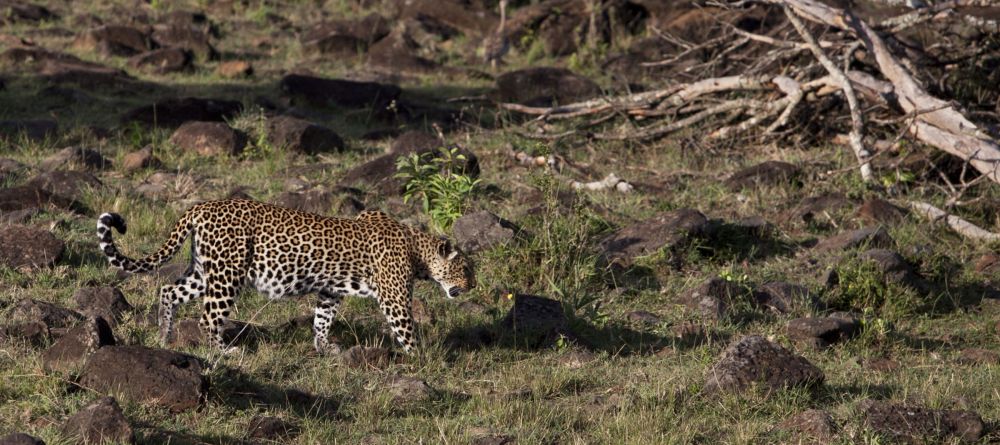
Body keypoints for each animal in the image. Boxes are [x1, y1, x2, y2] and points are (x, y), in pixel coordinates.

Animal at [96, 198, 475, 354]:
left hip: (205, 270)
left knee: (168, 291)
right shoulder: (395, 299)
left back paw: (164, 337)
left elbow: (323, 318)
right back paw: (224, 351)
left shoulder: (330, 290)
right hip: (228, 273)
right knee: (208, 317)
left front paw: (324, 347)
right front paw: (425, 359)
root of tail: (202, 206)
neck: (417, 249)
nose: (473, 285)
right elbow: (406, 330)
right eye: (466, 269)